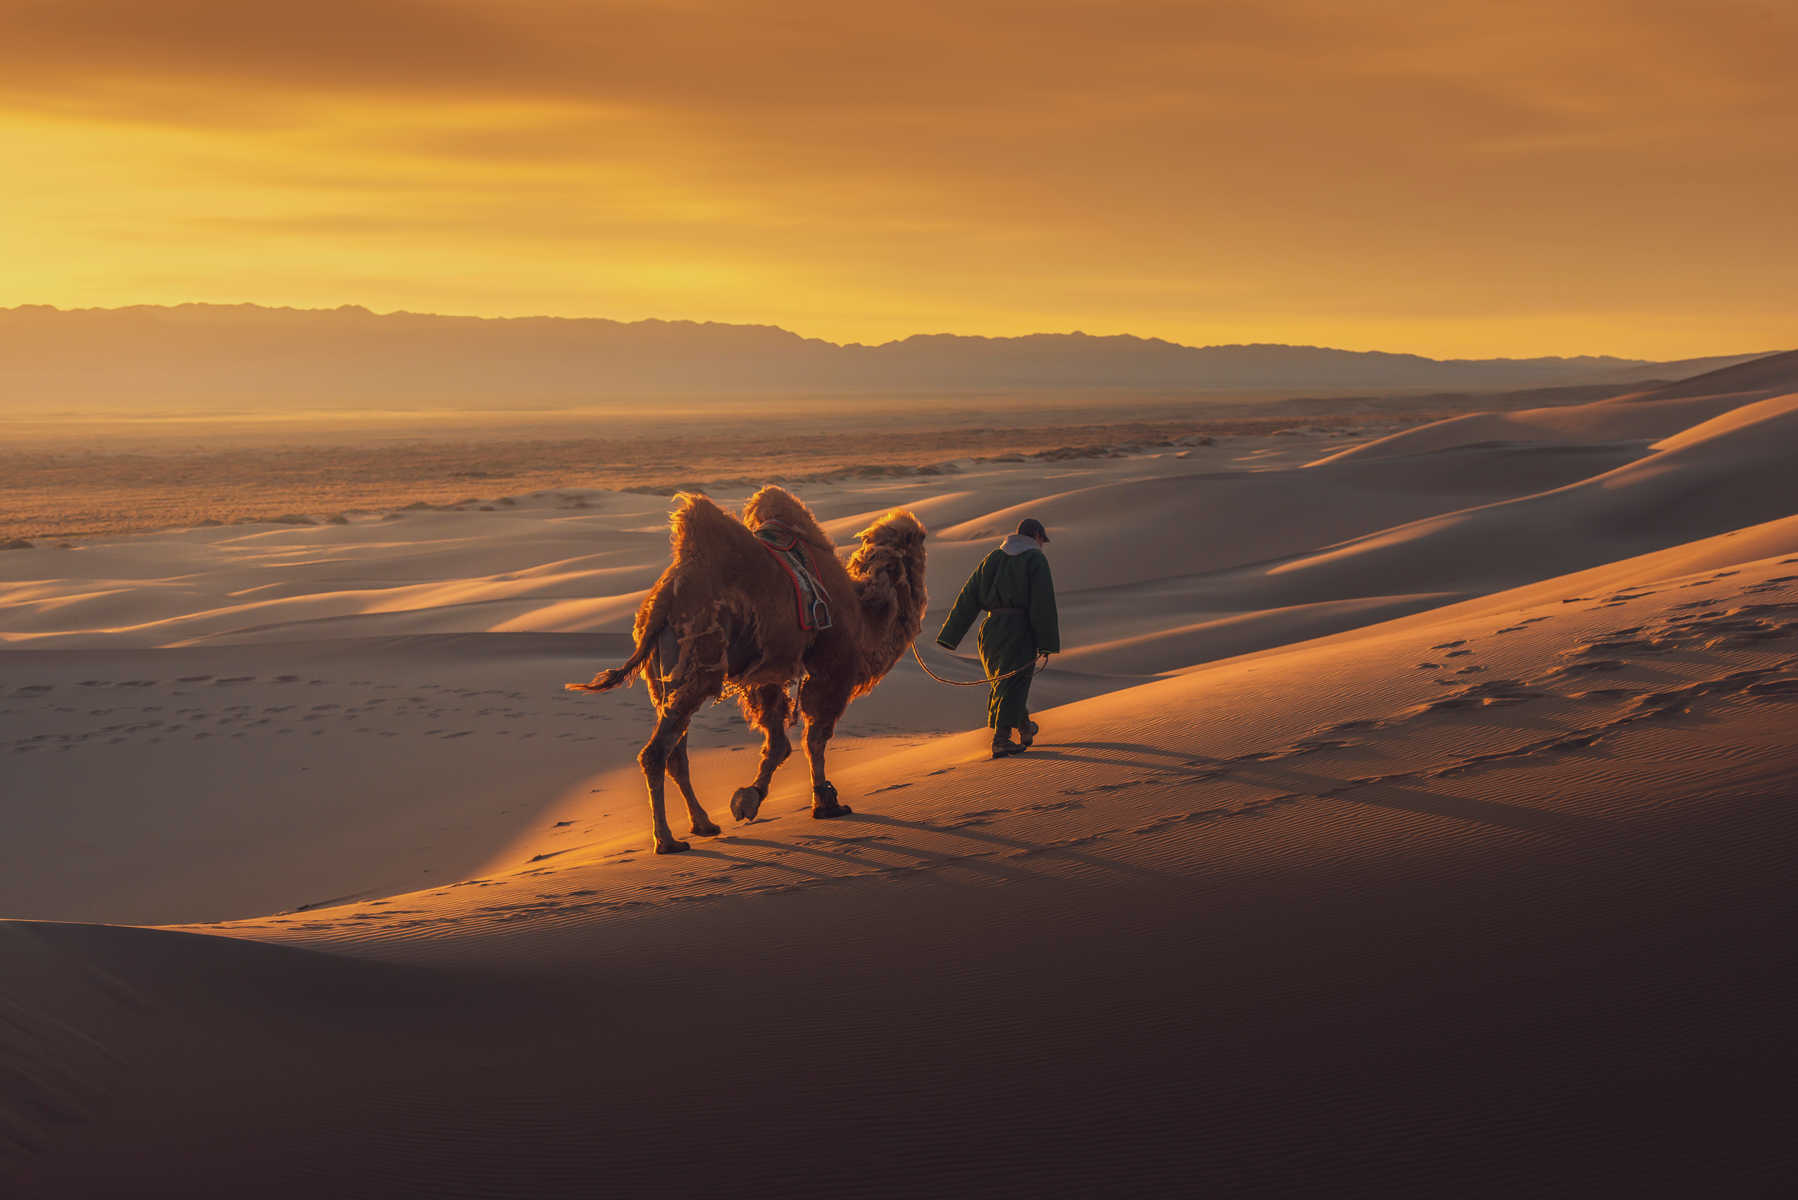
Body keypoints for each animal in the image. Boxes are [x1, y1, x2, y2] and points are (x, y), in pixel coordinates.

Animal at [564, 485, 927, 852]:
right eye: (916, 542)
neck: (865, 614)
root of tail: (660, 603)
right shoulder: (833, 668)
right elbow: (815, 738)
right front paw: (825, 803)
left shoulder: (767, 676)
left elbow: (780, 742)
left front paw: (748, 799)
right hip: (699, 666)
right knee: (655, 753)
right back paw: (666, 840)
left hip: (664, 679)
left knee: (675, 752)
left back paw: (703, 824)